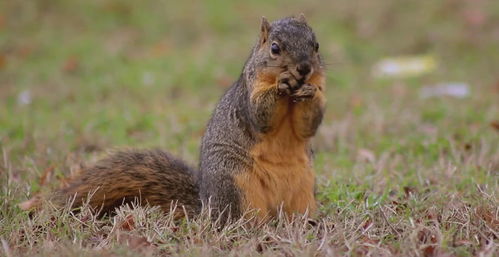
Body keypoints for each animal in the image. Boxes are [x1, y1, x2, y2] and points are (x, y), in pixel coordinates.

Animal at [41, 14, 326, 222]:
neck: (291, 98)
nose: (304, 68)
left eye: (316, 45)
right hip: (236, 184)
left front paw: (311, 93)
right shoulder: (248, 98)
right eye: (275, 48)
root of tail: (207, 208)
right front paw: (282, 84)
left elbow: (308, 127)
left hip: (304, 188)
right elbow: (261, 115)